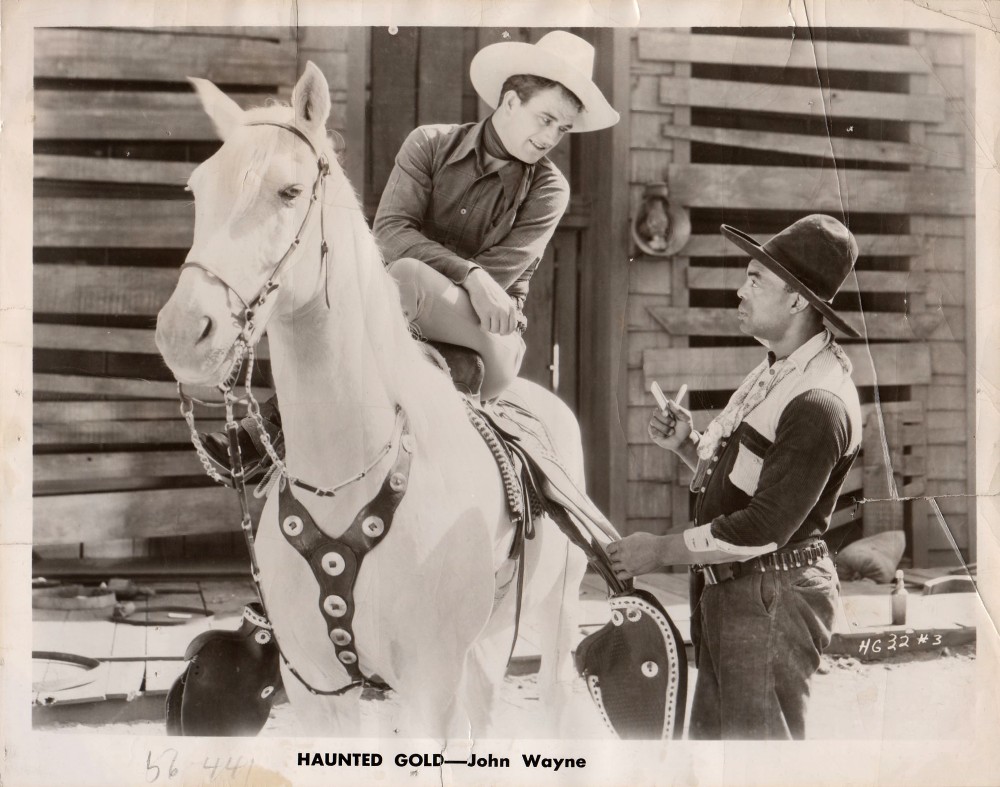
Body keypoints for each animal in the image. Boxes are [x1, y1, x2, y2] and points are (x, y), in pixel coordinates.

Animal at [156, 63, 592, 740]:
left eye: (289, 191)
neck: (348, 478)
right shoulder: (316, 691)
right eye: (198, 190)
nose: (183, 333)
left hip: (556, 617)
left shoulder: (429, 688)